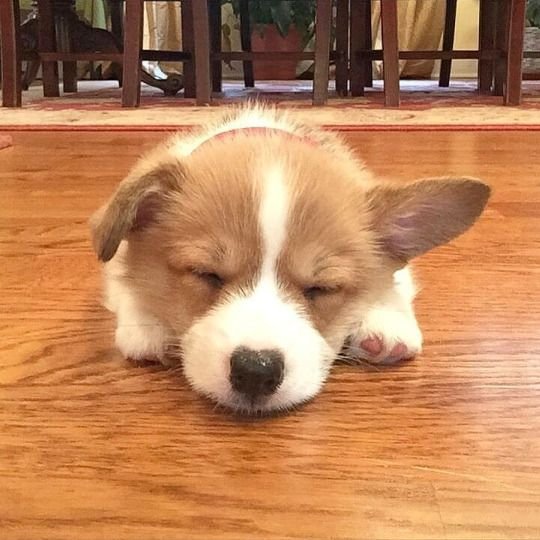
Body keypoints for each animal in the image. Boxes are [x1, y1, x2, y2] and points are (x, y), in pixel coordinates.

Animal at [90, 107, 492, 416]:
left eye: (323, 288)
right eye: (206, 274)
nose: (256, 372)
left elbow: (395, 283)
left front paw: (384, 321)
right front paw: (148, 325)